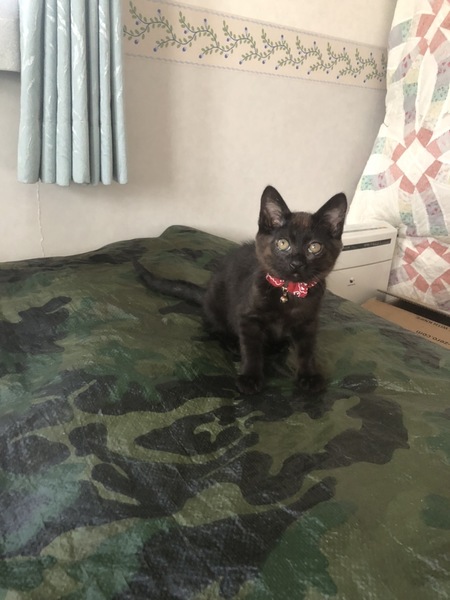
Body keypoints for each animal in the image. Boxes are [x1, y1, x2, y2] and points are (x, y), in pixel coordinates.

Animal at [135, 185, 347, 395]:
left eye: (314, 247)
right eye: (283, 243)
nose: (296, 263)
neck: (288, 291)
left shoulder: (308, 322)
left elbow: (307, 350)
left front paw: (309, 376)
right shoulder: (248, 317)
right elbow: (251, 349)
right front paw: (250, 377)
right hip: (216, 302)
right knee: (214, 327)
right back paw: (232, 342)